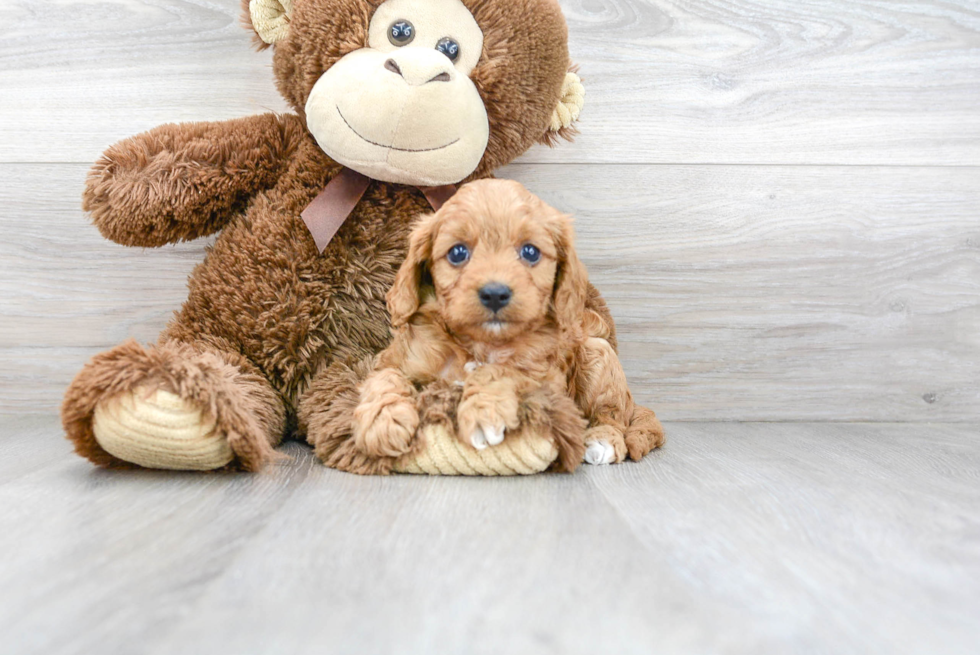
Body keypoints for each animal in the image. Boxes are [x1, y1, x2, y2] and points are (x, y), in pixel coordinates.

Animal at [348, 177, 664, 468]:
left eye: (530, 252)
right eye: (457, 252)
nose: (495, 294)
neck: (480, 343)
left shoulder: (545, 377)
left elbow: (500, 371)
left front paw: (483, 413)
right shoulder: (396, 359)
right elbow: (384, 378)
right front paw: (383, 421)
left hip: (599, 353)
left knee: (612, 415)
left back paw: (602, 441)